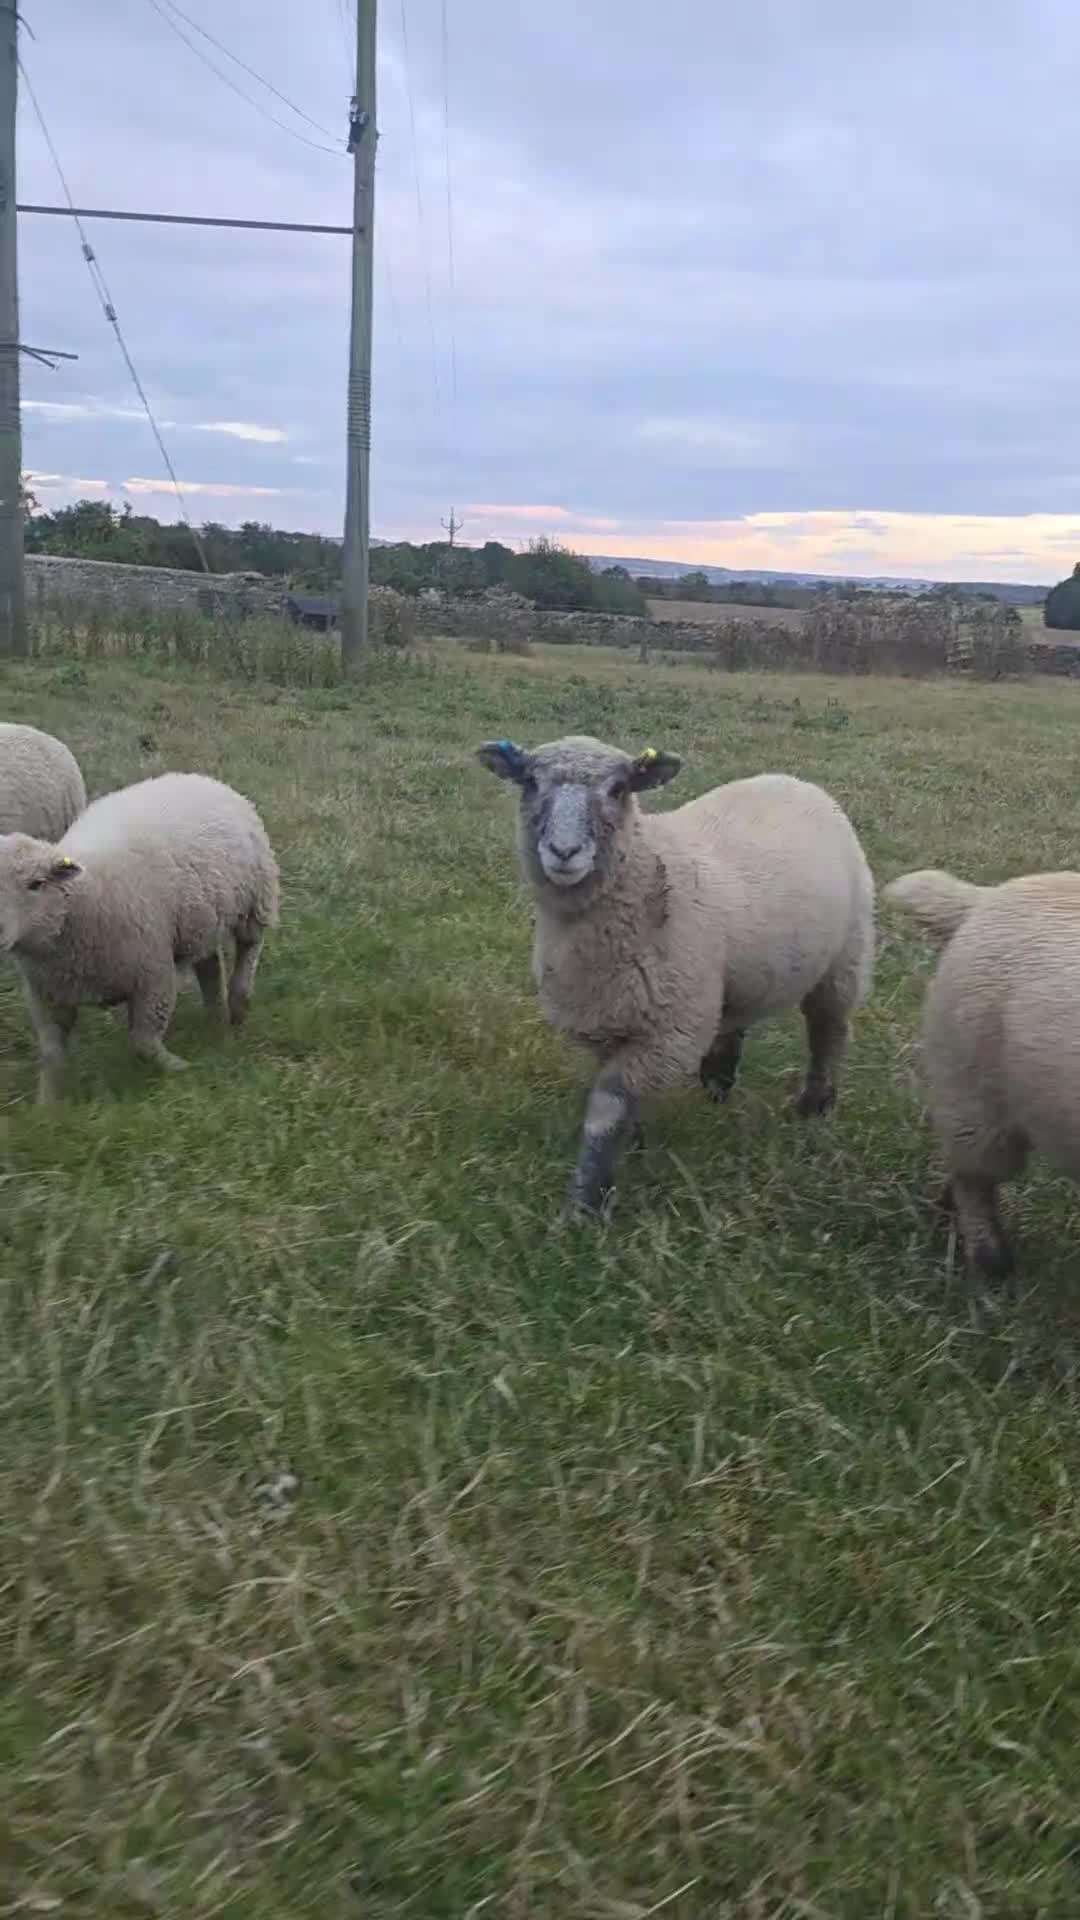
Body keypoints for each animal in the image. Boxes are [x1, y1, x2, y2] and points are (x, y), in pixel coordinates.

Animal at [0, 771, 279, 1102]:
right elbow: (52, 1055)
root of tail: (195, 776)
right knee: (209, 965)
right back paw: (215, 1016)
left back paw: (238, 1003)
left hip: (255, 898)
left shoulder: (153, 976)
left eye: (37, 883)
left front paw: (178, 1068)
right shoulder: (47, 995)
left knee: (249, 946)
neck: (84, 899)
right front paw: (47, 1105)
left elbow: (144, 1042)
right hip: (198, 920)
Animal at [477, 734, 875, 1215]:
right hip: (731, 977)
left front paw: (586, 1204)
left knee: (828, 1031)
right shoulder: (611, 1020)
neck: (648, 869)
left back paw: (815, 1105)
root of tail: (795, 781)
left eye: (618, 789)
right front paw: (632, 1146)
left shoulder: (668, 1031)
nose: (564, 852)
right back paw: (718, 1084)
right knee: (734, 1021)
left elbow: (607, 1111)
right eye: (531, 782)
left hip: (846, 957)